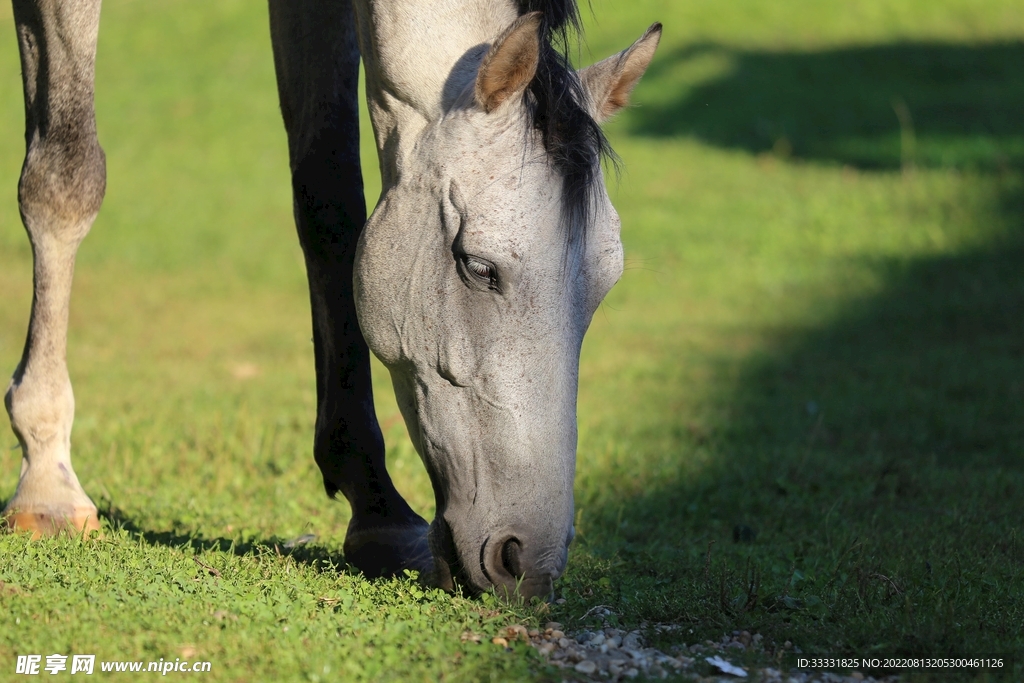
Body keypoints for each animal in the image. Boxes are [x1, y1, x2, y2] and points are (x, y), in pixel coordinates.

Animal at [3, 0, 659, 600]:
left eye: (603, 288)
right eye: (478, 267)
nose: (528, 563)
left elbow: (330, 196)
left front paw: (377, 507)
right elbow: (65, 178)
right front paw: (48, 483)